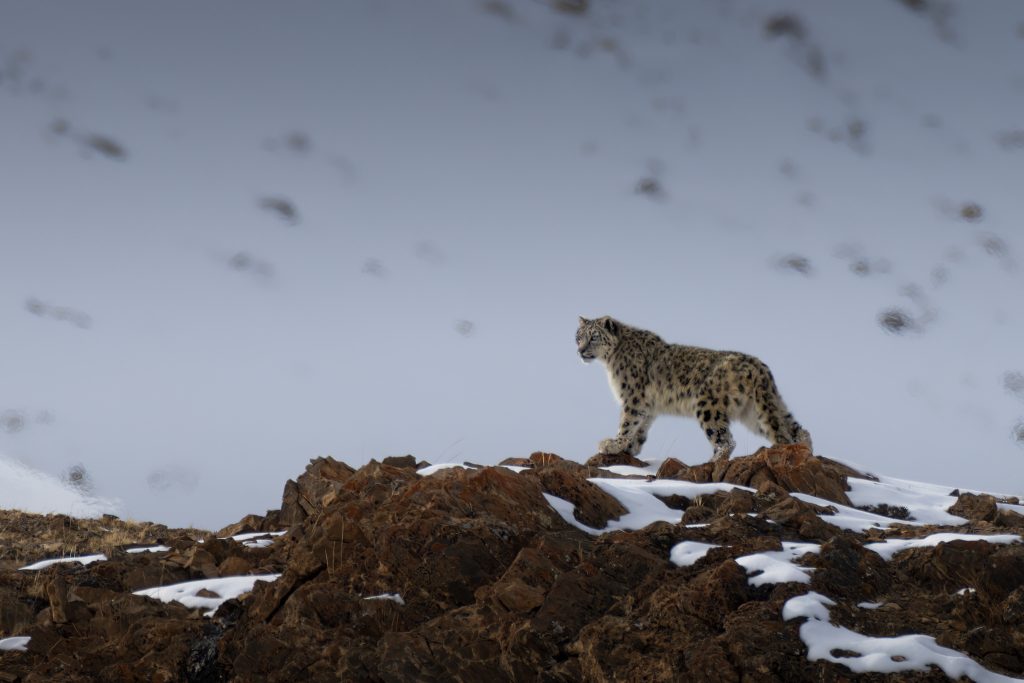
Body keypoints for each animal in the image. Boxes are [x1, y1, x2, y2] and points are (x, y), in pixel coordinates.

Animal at [576, 316, 812, 462]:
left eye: (594, 336)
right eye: (578, 336)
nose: (580, 350)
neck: (610, 362)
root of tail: (758, 367)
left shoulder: (633, 398)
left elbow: (627, 423)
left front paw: (612, 445)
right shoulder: (648, 407)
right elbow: (640, 428)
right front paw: (630, 448)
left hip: (708, 405)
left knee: (726, 441)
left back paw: (709, 463)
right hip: (756, 411)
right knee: (797, 430)